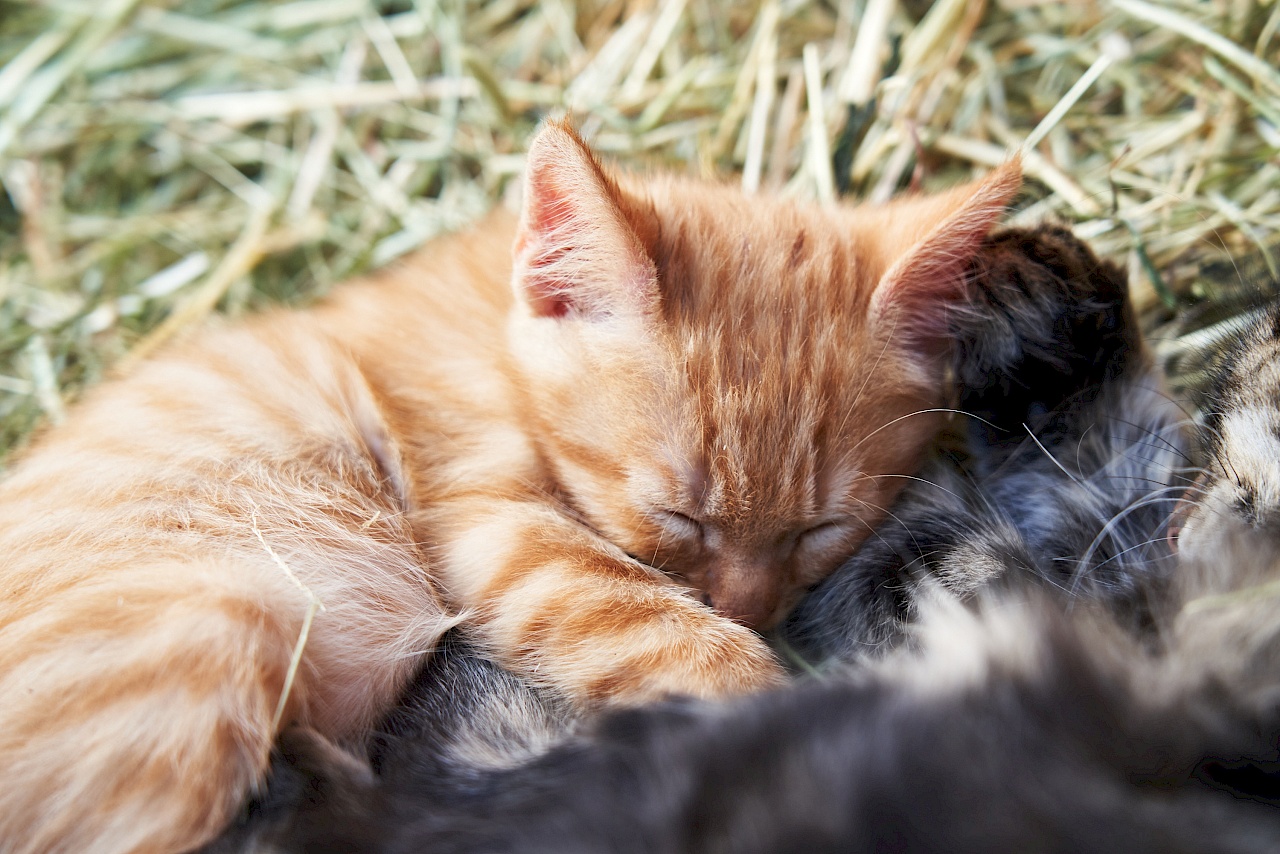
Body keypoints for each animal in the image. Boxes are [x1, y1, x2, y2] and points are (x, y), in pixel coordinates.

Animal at [0, 121, 1018, 854]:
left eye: (821, 528)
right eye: (674, 515)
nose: (748, 607)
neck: (490, 324)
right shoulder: (485, 523)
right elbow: (670, 637)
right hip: (217, 617)